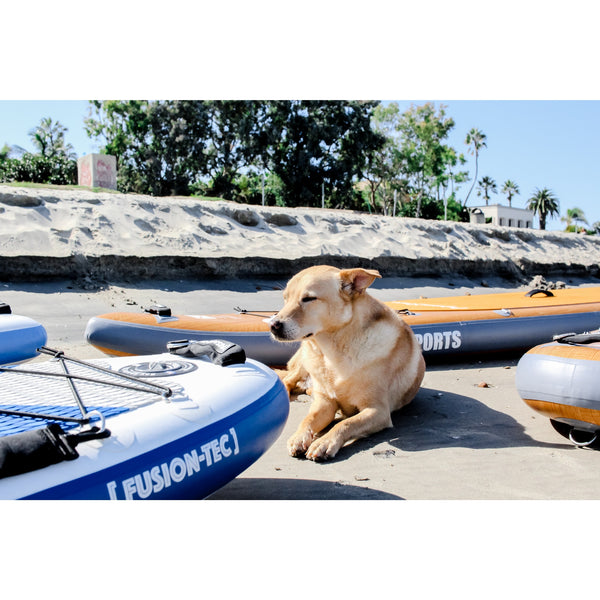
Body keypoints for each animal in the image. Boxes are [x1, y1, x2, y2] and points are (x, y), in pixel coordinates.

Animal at [270, 264, 424, 462]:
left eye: (309, 299)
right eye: (285, 299)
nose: (272, 325)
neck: (332, 352)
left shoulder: (378, 411)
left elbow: (346, 424)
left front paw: (324, 442)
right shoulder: (325, 403)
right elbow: (308, 419)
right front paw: (299, 436)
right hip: (305, 359)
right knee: (288, 380)